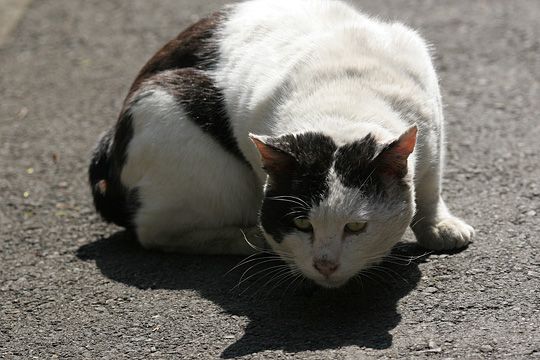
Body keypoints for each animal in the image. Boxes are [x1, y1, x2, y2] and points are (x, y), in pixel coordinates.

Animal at [88, 0, 472, 286]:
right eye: (301, 224)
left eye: (356, 227)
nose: (325, 264)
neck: (342, 103)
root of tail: (109, 145)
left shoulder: (431, 121)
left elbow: (429, 187)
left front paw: (438, 226)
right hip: (182, 129)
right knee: (153, 230)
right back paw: (249, 239)